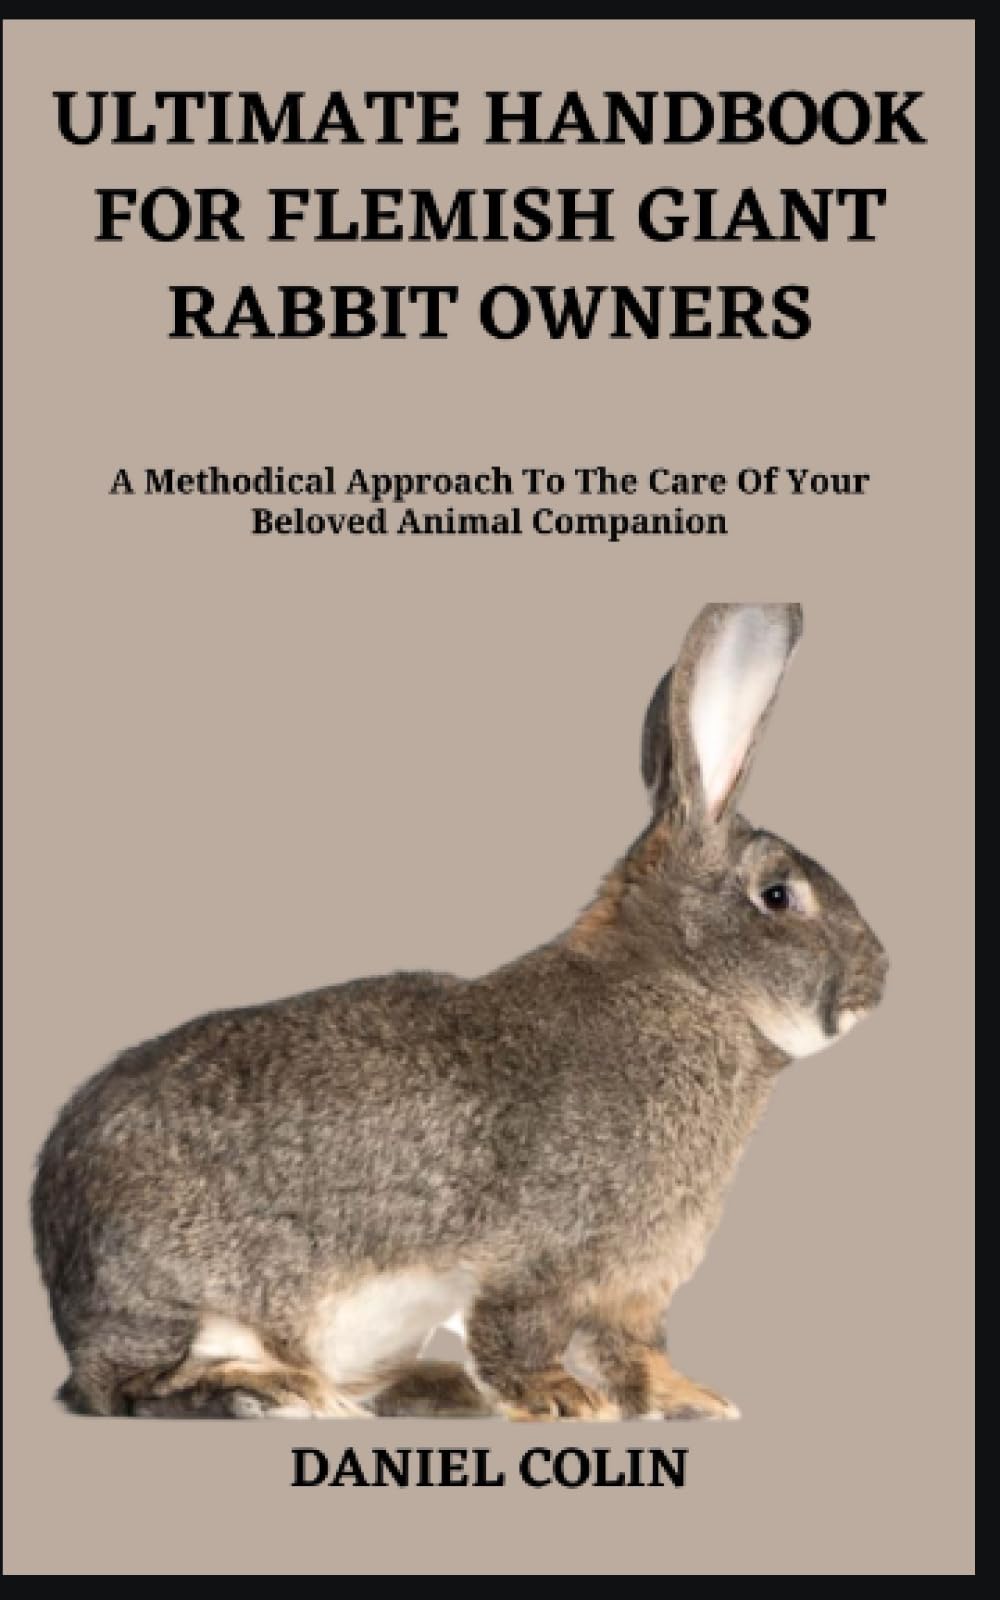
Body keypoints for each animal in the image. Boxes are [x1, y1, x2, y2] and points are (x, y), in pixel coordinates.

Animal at [32, 602, 887, 1421]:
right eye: (777, 895)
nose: (877, 980)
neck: (685, 984)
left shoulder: (635, 1286)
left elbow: (636, 1354)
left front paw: (692, 1402)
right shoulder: (545, 1257)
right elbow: (526, 1331)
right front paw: (561, 1402)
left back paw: (431, 1388)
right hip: (186, 1300)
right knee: (133, 1388)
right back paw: (277, 1395)